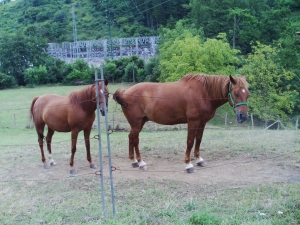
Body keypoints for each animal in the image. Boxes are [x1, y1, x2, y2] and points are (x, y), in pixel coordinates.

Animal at [113, 74, 250, 172]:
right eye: (236, 93)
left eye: (247, 94)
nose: (243, 117)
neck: (204, 93)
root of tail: (125, 92)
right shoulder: (193, 121)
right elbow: (190, 142)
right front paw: (189, 165)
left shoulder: (202, 122)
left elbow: (198, 140)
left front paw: (199, 159)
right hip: (136, 123)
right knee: (135, 140)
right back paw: (141, 163)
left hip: (140, 122)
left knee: (131, 137)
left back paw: (134, 161)